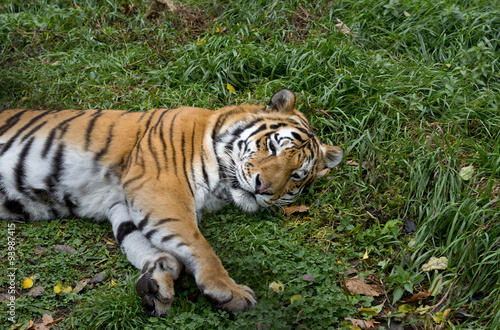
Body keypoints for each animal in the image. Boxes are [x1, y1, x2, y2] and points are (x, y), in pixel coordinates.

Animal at [0, 89, 342, 316]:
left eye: (296, 175)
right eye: (272, 147)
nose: (263, 188)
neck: (223, 183)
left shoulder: (122, 203)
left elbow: (150, 246)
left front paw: (156, 283)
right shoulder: (158, 185)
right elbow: (197, 243)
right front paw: (228, 290)